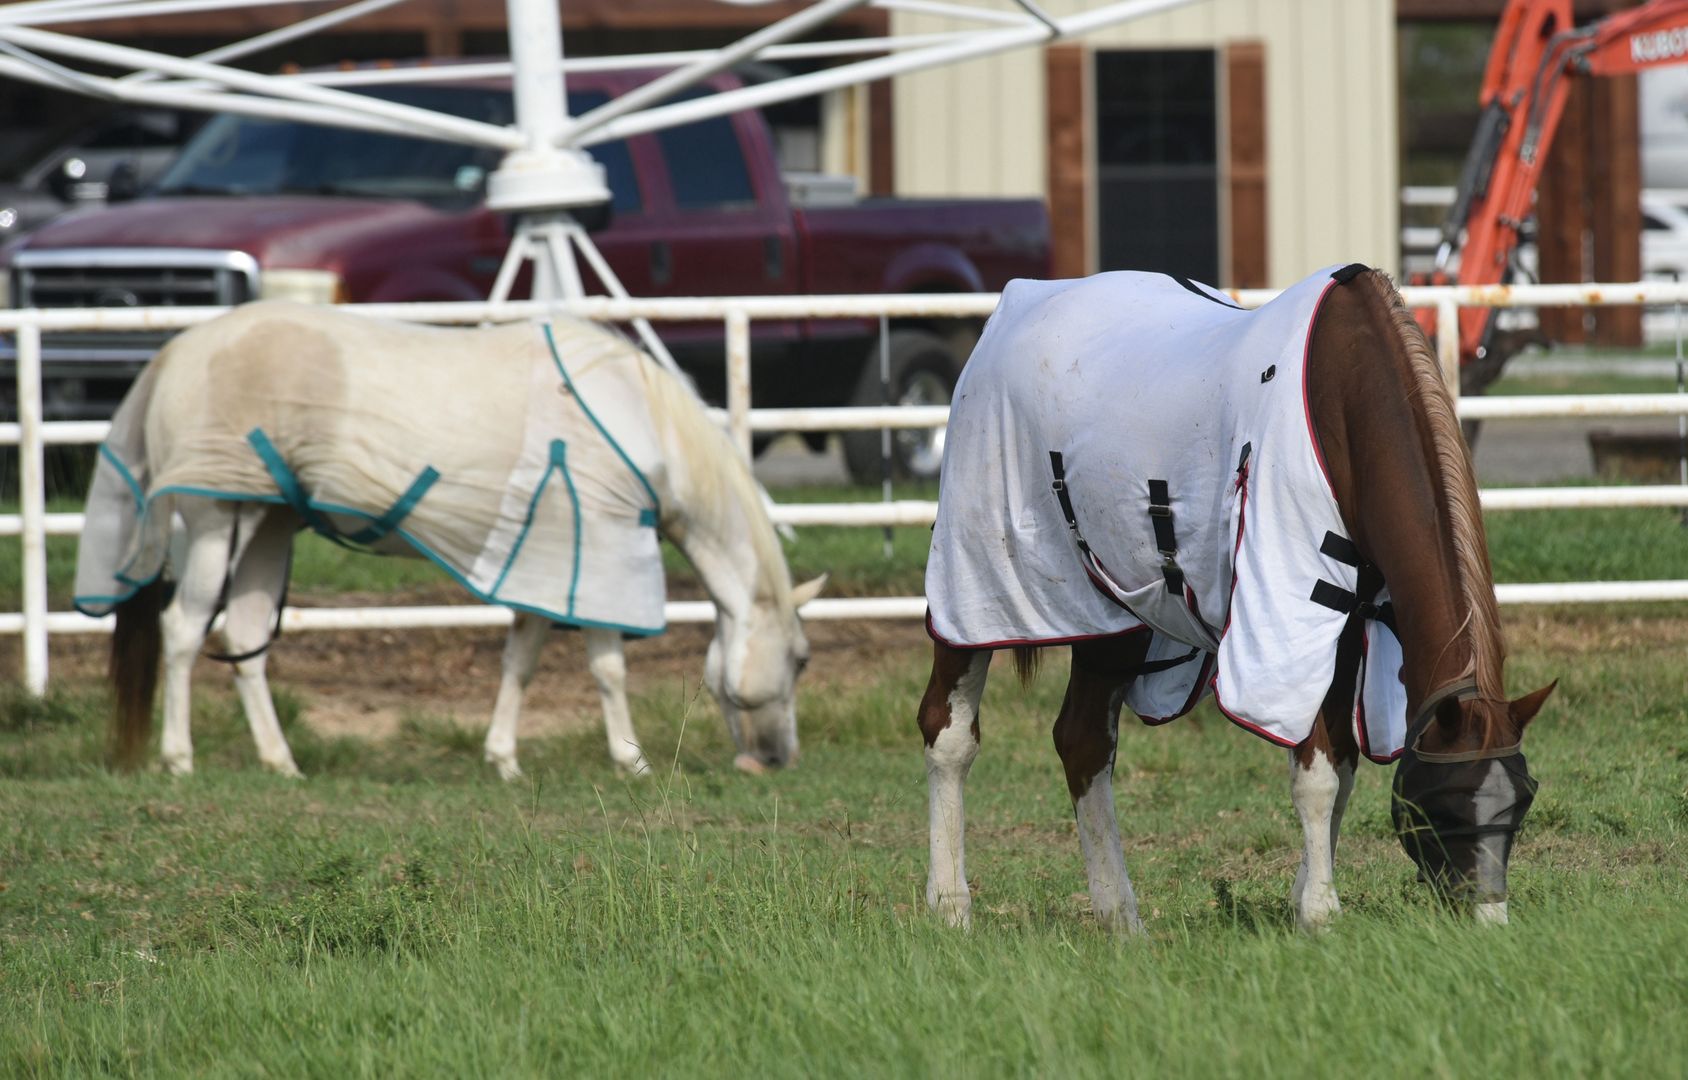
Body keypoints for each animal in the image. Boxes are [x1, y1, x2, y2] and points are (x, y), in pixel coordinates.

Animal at [79, 300, 823, 779]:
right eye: (803, 659)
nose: (777, 760)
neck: (639, 422)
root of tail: (177, 350)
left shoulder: (548, 563)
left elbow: (520, 663)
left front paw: (503, 760)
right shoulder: (600, 556)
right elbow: (609, 669)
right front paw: (631, 762)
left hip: (267, 526)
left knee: (244, 640)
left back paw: (281, 762)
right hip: (215, 523)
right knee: (182, 632)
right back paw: (179, 759)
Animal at [925, 268, 1552, 931]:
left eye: (1520, 802)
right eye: (1446, 807)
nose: (1490, 924)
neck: (1343, 403)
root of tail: (1015, 302)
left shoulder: (1348, 622)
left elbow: (1341, 765)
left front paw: (1307, 897)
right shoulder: (1288, 612)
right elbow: (1316, 775)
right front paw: (1320, 913)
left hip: (1115, 618)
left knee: (1083, 740)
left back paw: (1120, 917)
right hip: (974, 591)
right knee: (949, 732)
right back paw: (950, 906)